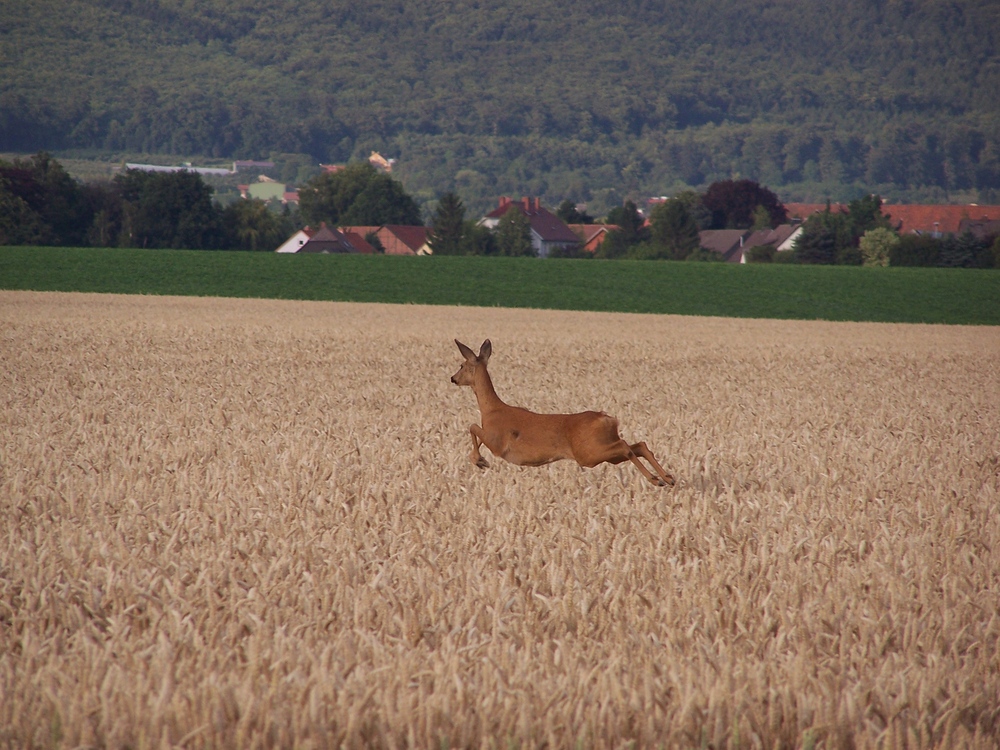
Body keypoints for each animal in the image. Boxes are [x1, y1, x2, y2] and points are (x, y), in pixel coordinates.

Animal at [450, 340, 676, 488]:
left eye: (462, 365)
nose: (453, 378)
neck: (491, 409)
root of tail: (607, 419)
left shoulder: (498, 442)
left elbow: (472, 427)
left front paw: (480, 461)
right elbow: (475, 430)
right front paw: (478, 460)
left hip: (588, 453)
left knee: (626, 446)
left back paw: (656, 479)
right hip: (603, 449)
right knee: (638, 445)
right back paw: (668, 478)